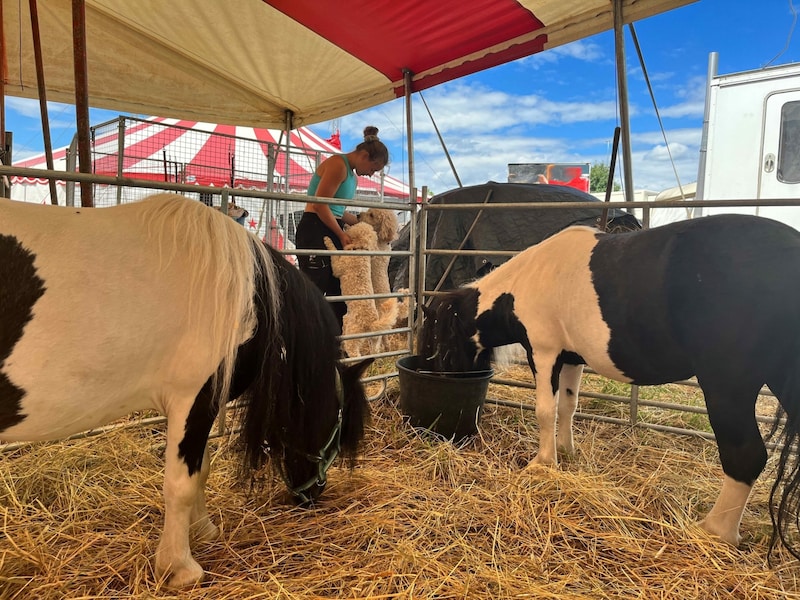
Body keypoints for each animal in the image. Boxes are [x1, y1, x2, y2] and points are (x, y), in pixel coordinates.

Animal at [0, 195, 374, 588]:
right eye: (337, 425)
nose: (313, 495)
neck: (246, 296)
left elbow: (201, 470)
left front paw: (204, 530)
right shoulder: (193, 399)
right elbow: (181, 483)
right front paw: (180, 567)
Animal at [418, 213, 800, 560]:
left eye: (439, 341)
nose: (439, 378)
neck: (527, 282)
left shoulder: (544, 352)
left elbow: (545, 410)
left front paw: (543, 463)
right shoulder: (572, 358)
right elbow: (567, 406)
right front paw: (566, 452)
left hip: (727, 385)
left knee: (745, 454)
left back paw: (714, 532)